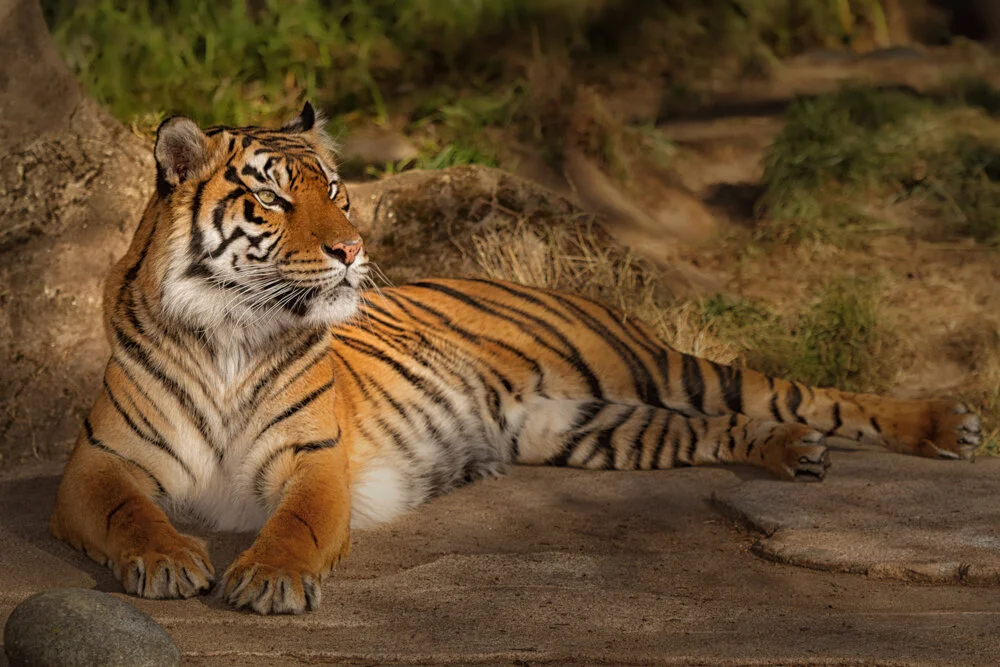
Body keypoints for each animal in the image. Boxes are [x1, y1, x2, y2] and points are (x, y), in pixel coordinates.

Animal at [49, 103, 982, 615]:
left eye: (338, 192)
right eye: (274, 198)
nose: (354, 249)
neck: (231, 335)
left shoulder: (316, 458)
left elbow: (298, 523)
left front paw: (270, 578)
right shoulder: (99, 462)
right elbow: (131, 512)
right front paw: (167, 558)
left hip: (652, 366)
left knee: (793, 389)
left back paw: (945, 424)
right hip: (587, 425)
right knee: (720, 426)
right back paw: (792, 453)